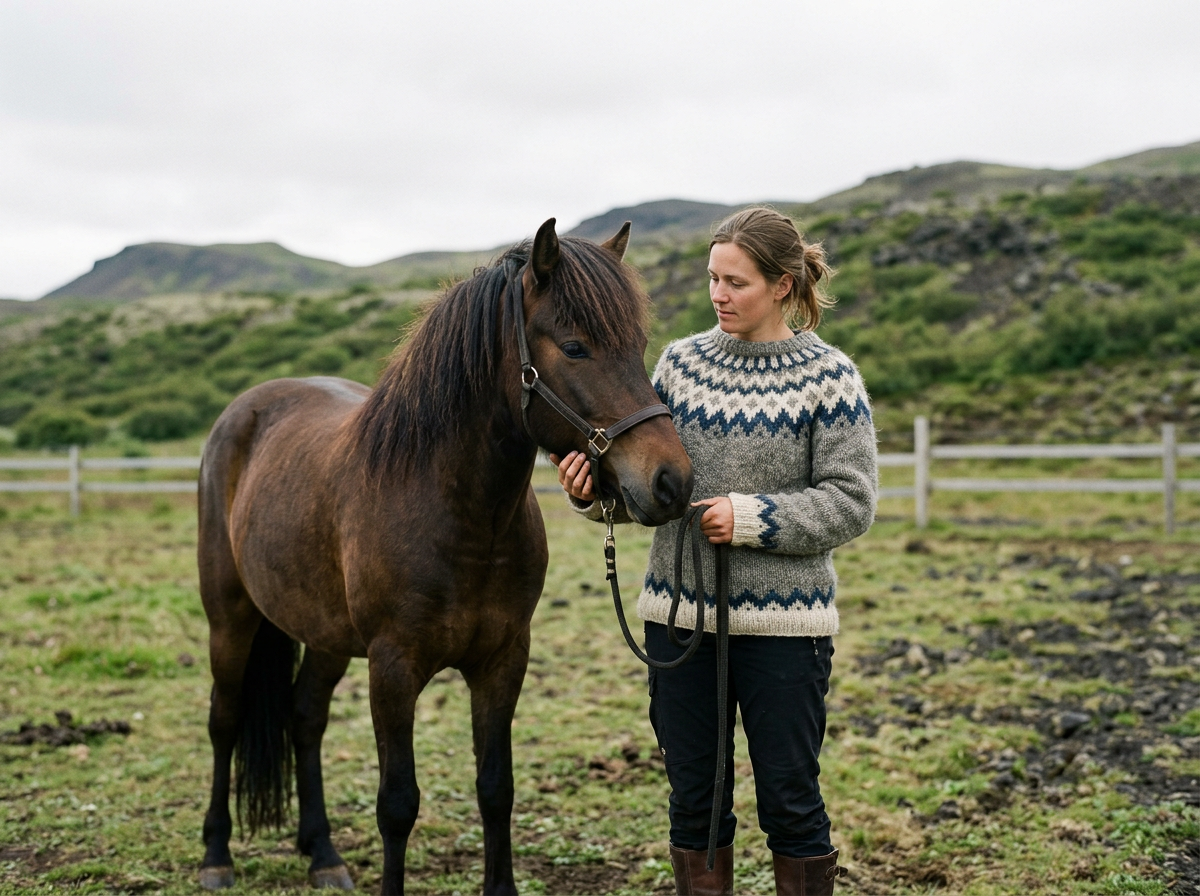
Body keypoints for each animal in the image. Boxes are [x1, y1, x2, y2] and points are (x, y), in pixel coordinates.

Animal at [196, 218, 694, 894]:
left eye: (638, 344)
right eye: (575, 347)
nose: (672, 481)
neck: (460, 516)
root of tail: (242, 413)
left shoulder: (502, 661)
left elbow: (496, 789)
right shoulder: (393, 669)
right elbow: (397, 805)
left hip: (324, 635)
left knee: (304, 718)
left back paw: (322, 852)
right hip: (230, 618)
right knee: (224, 720)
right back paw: (216, 854)